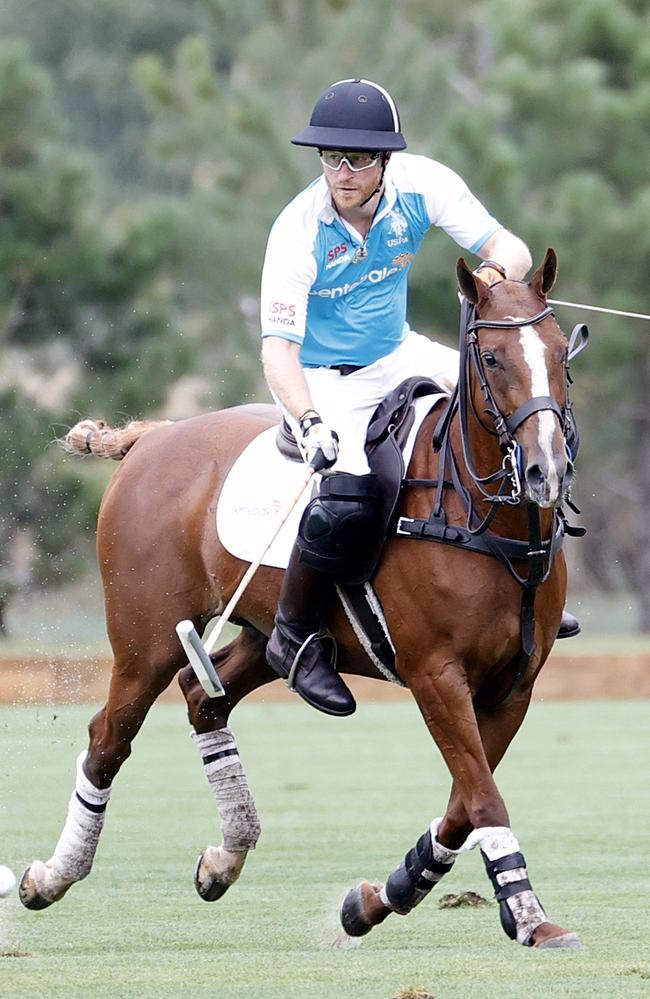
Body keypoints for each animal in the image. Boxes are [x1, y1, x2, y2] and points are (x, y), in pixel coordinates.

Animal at [20, 252, 580, 952]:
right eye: (494, 359)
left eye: (560, 353)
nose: (545, 471)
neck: (479, 518)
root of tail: (154, 438)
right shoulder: (436, 675)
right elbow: (482, 798)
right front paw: (529, 915)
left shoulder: (513, 688)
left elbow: (462, 802)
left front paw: (375, 900)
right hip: (143, 638)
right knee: (109, 736)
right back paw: (51, 877)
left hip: (263, 636)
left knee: (205, 693)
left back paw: (225, 857)